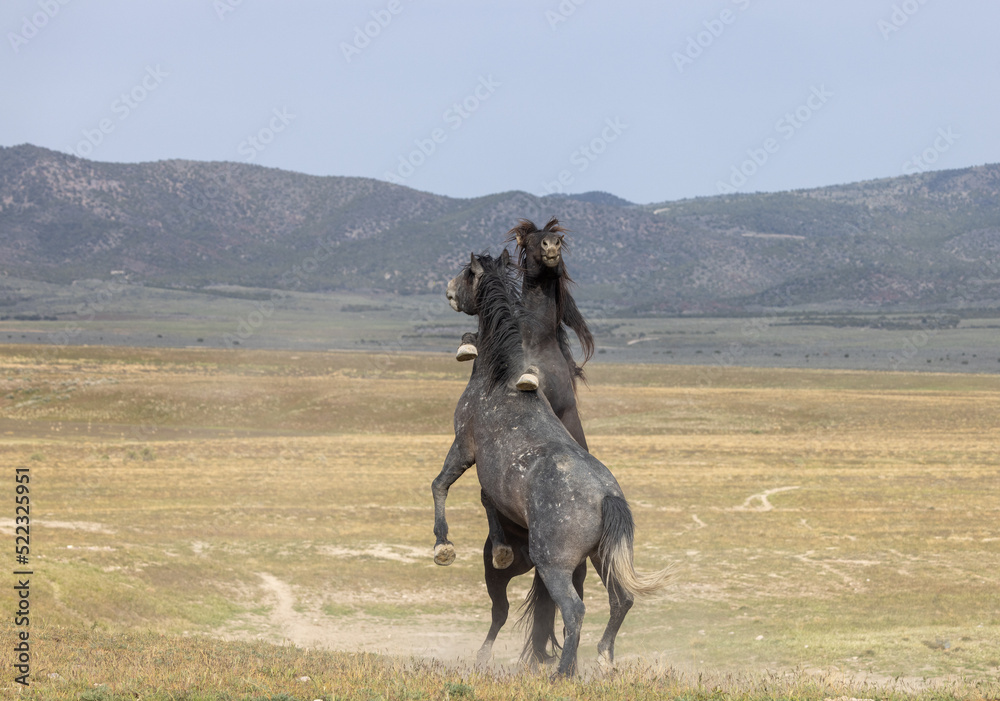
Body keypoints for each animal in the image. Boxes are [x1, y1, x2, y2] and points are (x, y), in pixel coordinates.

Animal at [432, 250, 673, 676]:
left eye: (467, 273)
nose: (448, 291)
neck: (500, 378)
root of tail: (607, 497)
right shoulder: (489, 475)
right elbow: (486, 502)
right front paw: (498, 547)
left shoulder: (464, 447)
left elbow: (440, 484)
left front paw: (443, 545)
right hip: (600, 558)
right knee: (621, 600)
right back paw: (602, 659)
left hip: (555, 567)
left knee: (572, 610)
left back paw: (561, 673)